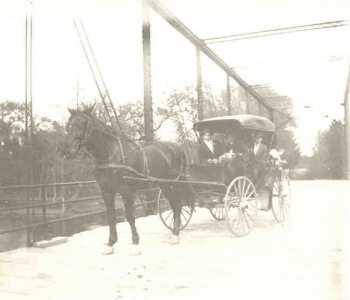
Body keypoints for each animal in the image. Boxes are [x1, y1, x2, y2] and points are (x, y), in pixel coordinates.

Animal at [61, 105, 196, 255]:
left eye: (81, 124)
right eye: (68, 126)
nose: (66, 151)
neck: (110, 154)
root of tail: (178, 147)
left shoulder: (127, 191)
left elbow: (130, 216)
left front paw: (135, 244)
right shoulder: (106, 191)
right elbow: (111, 216)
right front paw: (110, 244)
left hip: (174, 183)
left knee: (178, 205)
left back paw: (175, 235)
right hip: (164, 185)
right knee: (175, 204)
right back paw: (174, 233)